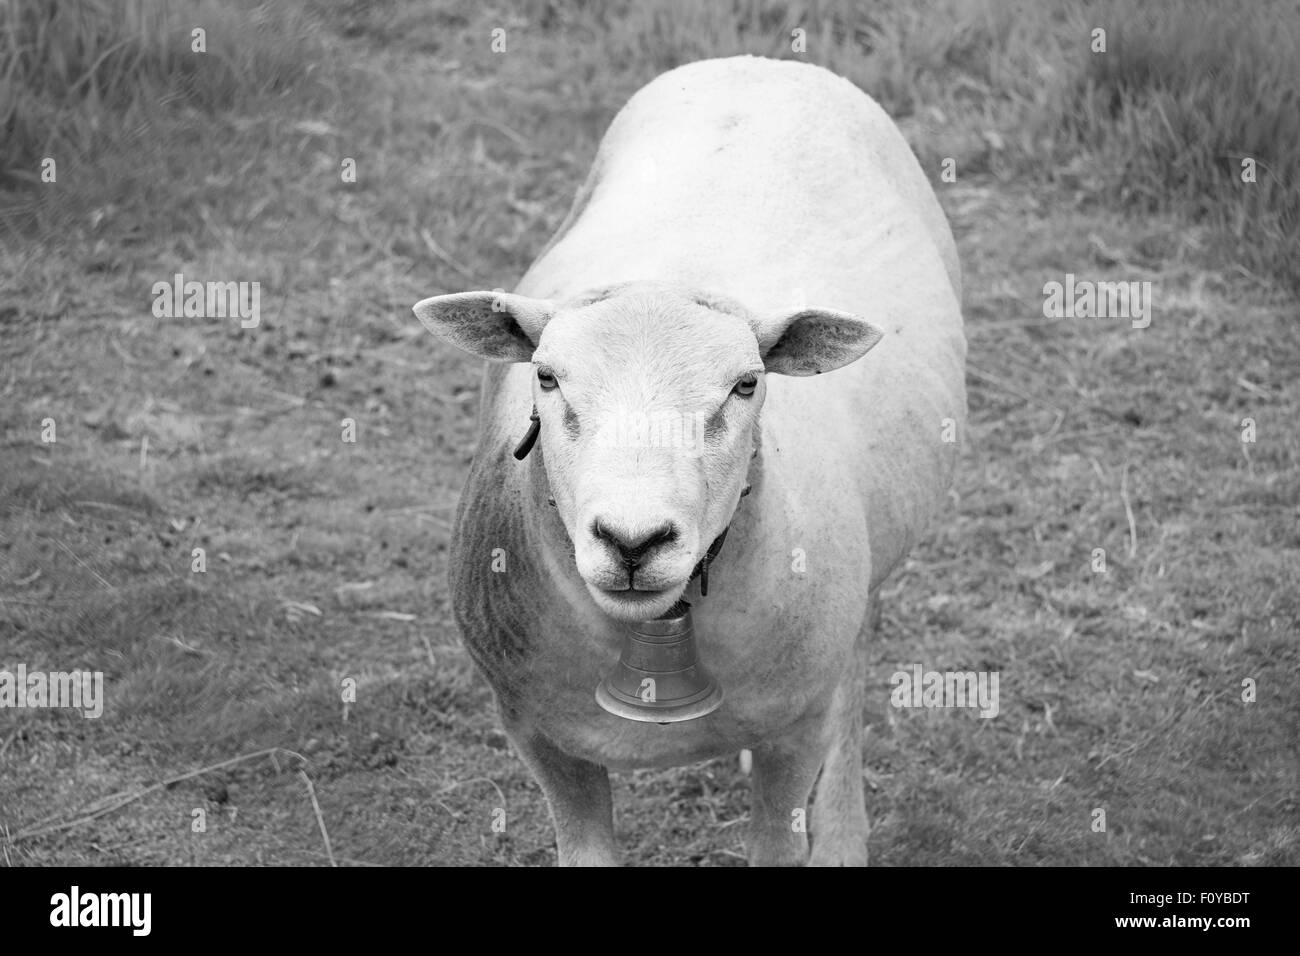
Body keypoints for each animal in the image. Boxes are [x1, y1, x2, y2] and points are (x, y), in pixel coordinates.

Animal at [413, 54, 967, 868]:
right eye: (546, 377)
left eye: (747, 385)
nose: (633, 541)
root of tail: (759, 62)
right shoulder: (536, 733)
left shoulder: (793, 731)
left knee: (854, 674)